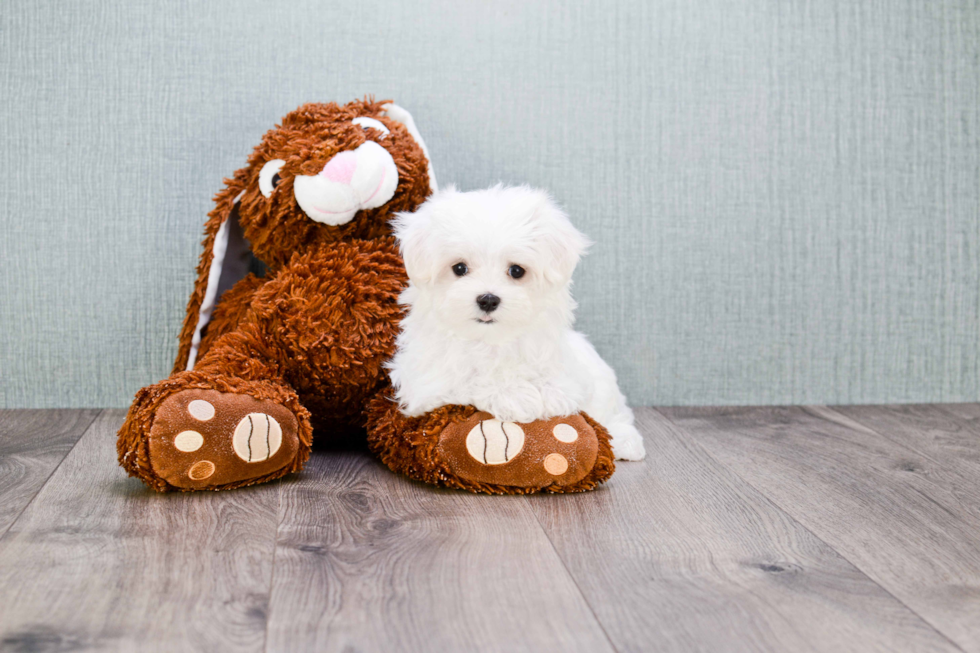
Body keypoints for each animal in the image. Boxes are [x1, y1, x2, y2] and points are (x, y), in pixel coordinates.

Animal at [386, 183, 648, 458]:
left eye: (516, 271)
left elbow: (562, 383)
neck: (490, 342)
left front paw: (550, 391)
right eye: (459, 268)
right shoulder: (425, 382)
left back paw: (625, 441)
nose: (488, 300)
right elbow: (468, 377)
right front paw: (515, 396)